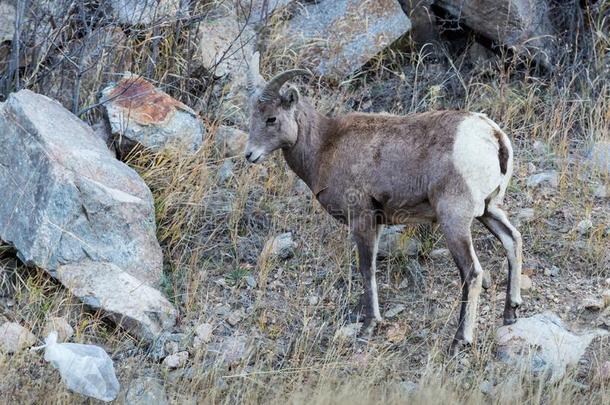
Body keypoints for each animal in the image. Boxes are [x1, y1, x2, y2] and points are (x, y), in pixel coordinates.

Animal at [245, 53, 520, 354]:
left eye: (271, 118)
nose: (250, 155)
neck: (324, 147)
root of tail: (493, 137)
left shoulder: (362, 219)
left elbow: (367, 270)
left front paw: (369, 325)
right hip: (489, 210)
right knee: (513, 239)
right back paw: (510, 314)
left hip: (455, 221)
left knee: (472, 272)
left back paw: (460, 340)